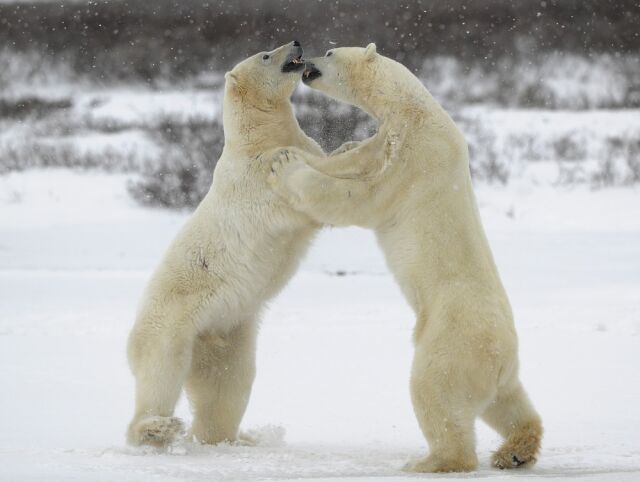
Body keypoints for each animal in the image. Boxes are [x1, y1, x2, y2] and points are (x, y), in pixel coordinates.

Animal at [125, 41, 396, 448]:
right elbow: (301, 191)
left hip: (228, 331)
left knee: (228, 386)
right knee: (161, 373)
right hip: (172, 322)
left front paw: (354, 143)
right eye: (267, 54)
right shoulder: (256, 176)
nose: (296, 42)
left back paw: (231, 438)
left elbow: (321, 159)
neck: (257, 138)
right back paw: (157, 428)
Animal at [268, 43, 544, 472]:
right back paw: (515, 449)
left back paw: (430, 461)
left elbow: (357, 198)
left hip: (450, 341)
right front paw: (328, 150)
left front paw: (285, 164)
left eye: (330, 51)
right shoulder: (386, 139)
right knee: (509, 403)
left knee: (434, 391)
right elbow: (352, 159)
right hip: (500, 372)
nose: (307, 59)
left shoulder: (412, 160)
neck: (415, 109)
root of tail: (501, 355)